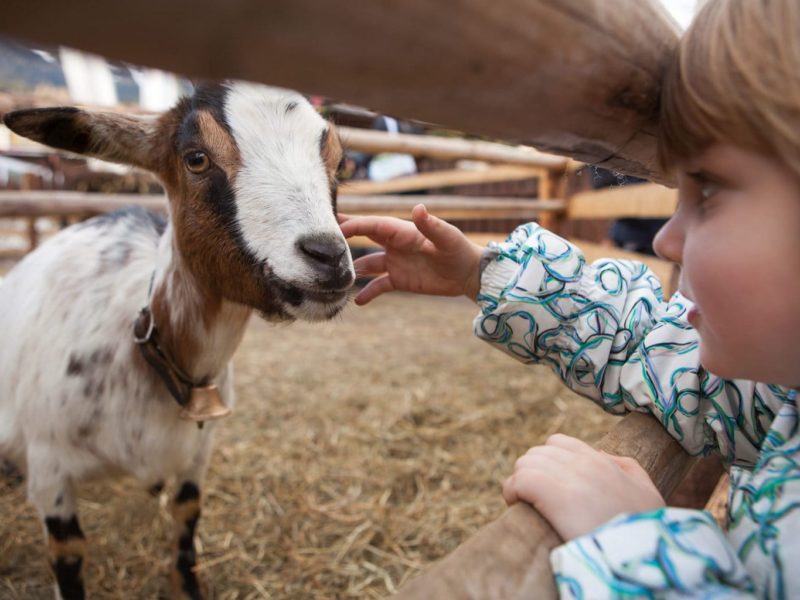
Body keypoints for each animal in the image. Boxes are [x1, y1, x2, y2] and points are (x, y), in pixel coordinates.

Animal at [0, 81, 356, 600]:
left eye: (340, 162)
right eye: (196, 158)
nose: (328, 257)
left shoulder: (198, 453)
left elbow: (187, 516)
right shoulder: (51, 472)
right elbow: (68, 554)